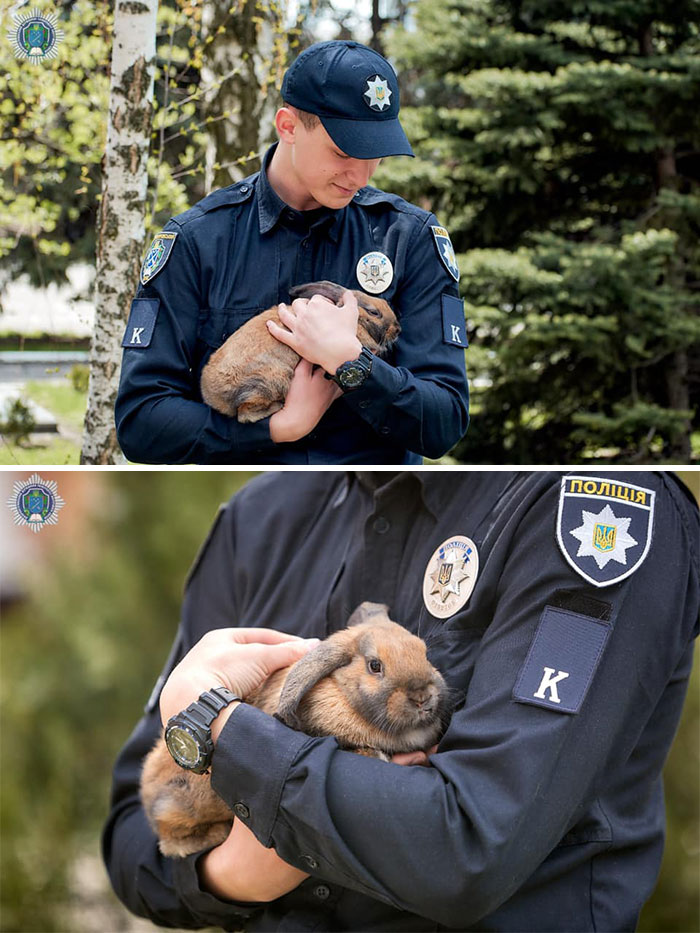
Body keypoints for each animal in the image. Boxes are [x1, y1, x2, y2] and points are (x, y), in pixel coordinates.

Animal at [199, 281, 401, 422]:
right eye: (374, 313)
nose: (398, 329)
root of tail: (213, 397)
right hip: (271, 381)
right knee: (244, 415)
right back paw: (277, 407)